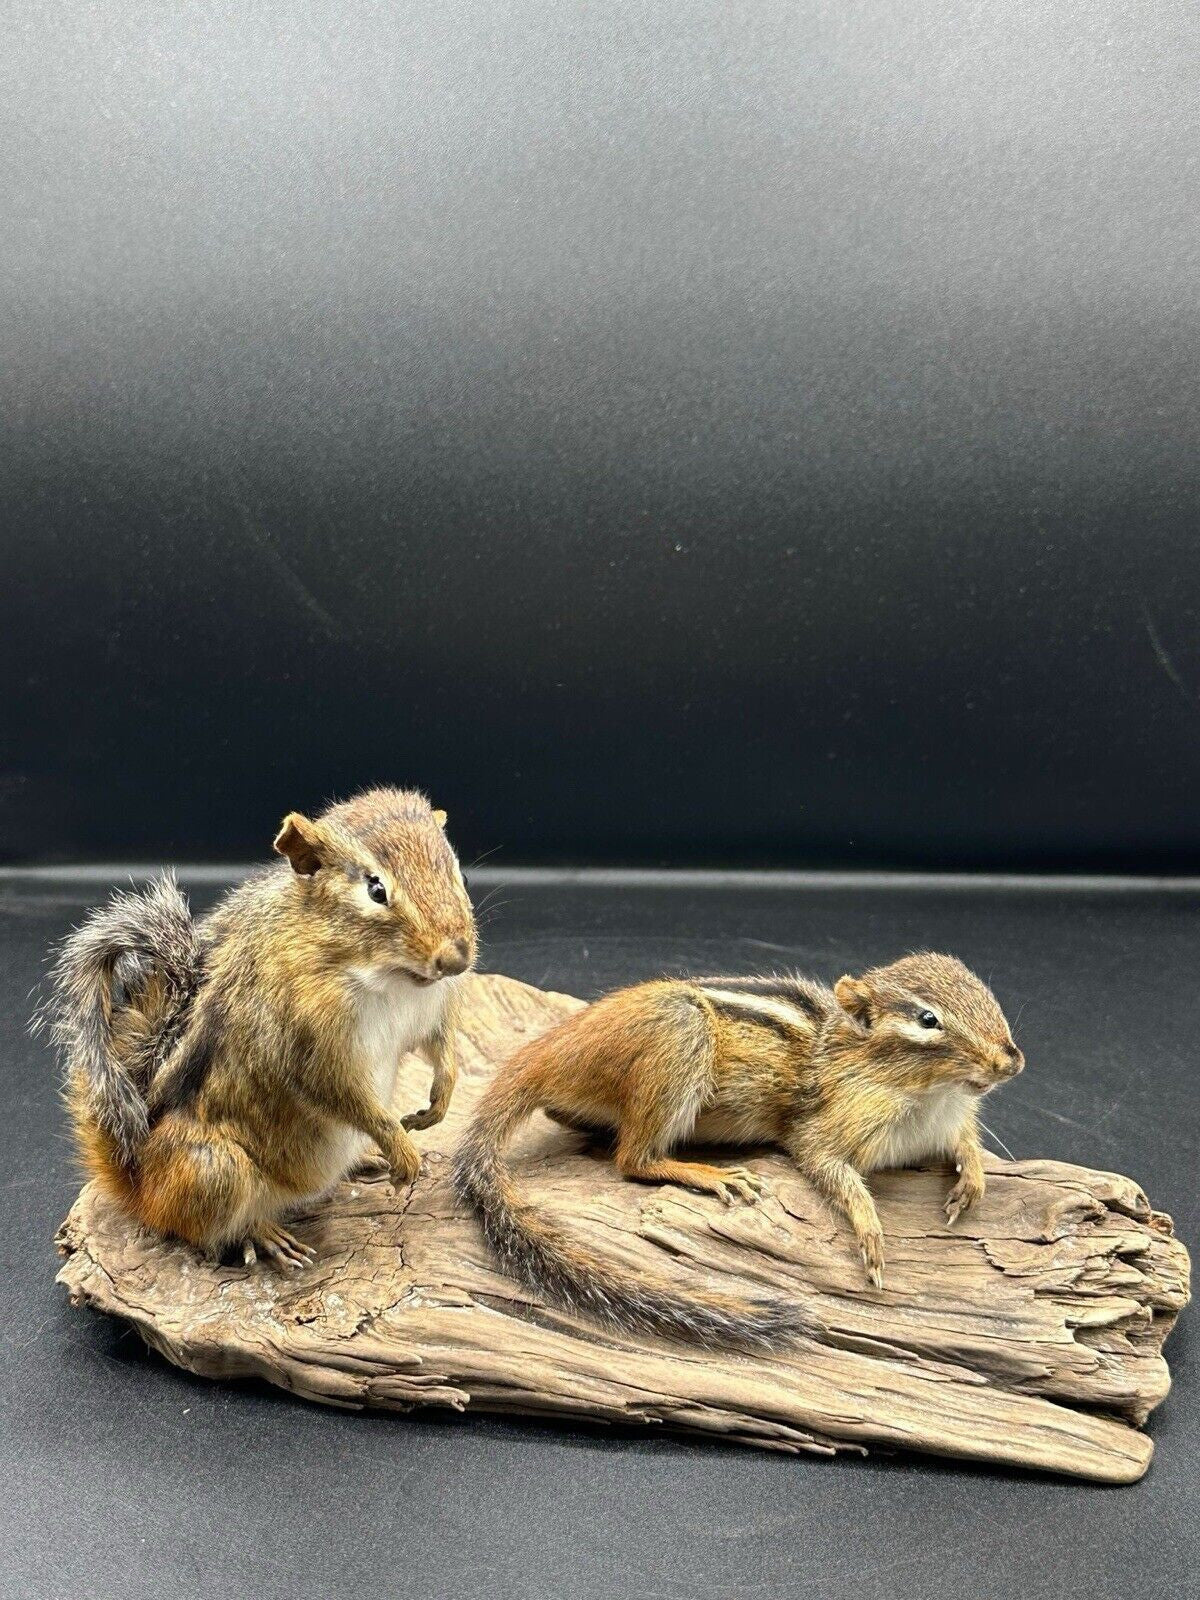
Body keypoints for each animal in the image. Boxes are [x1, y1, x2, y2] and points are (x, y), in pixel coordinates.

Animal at [41, 787, 477, 1269]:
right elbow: (343, 1095)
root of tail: (138, 1184)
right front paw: (400, 1148)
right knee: (205, 1231)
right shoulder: (304, 1044)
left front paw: (437, 1104)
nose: (456, 958)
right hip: (216, 1171)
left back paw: (362, 1162)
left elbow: (441, 1050)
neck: (390, 976)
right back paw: (264, 1234)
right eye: (375, 888)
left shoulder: (431, 1013)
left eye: (458, 871)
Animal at [452, 952, 1023, 1346]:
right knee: (632, 1160)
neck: (929, 1096)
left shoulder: (949, 1121)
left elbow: (965, 1142)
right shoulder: (821, 1133)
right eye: (928, 1019)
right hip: (677, 1032)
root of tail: (547, 1052)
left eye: (983, 991)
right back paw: (708, 1174)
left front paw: (972, 1179)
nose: (1012, 1060)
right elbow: (831, 1171)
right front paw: (870, 1230)